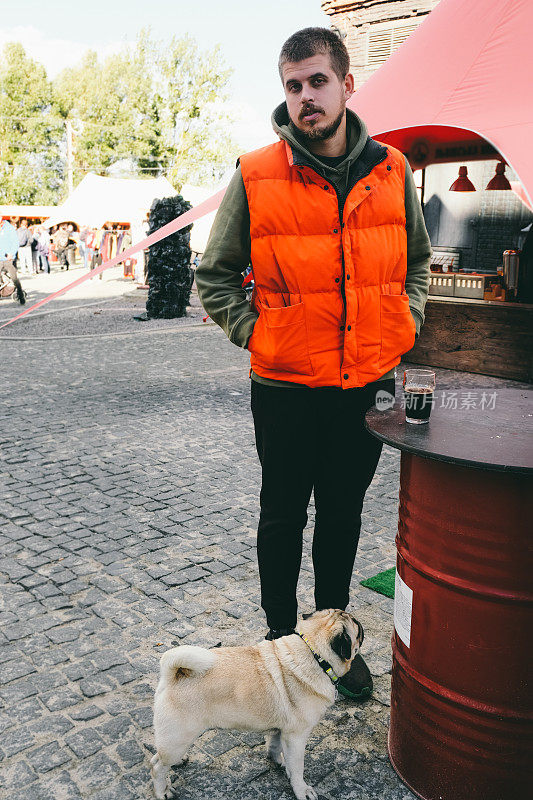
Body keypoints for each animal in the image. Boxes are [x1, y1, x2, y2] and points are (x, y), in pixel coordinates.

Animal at [152, 608, 364, 796]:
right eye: (356, 625)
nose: (360, 623)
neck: (313, 654)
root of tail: (174, 675)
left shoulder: (281, 730)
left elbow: (275, 746)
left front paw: (278, 761)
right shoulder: (296, 736)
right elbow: (297, 768)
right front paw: (301, 790)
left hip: (176, 738)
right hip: (179, 736)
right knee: (157, 767)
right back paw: (162, 792)